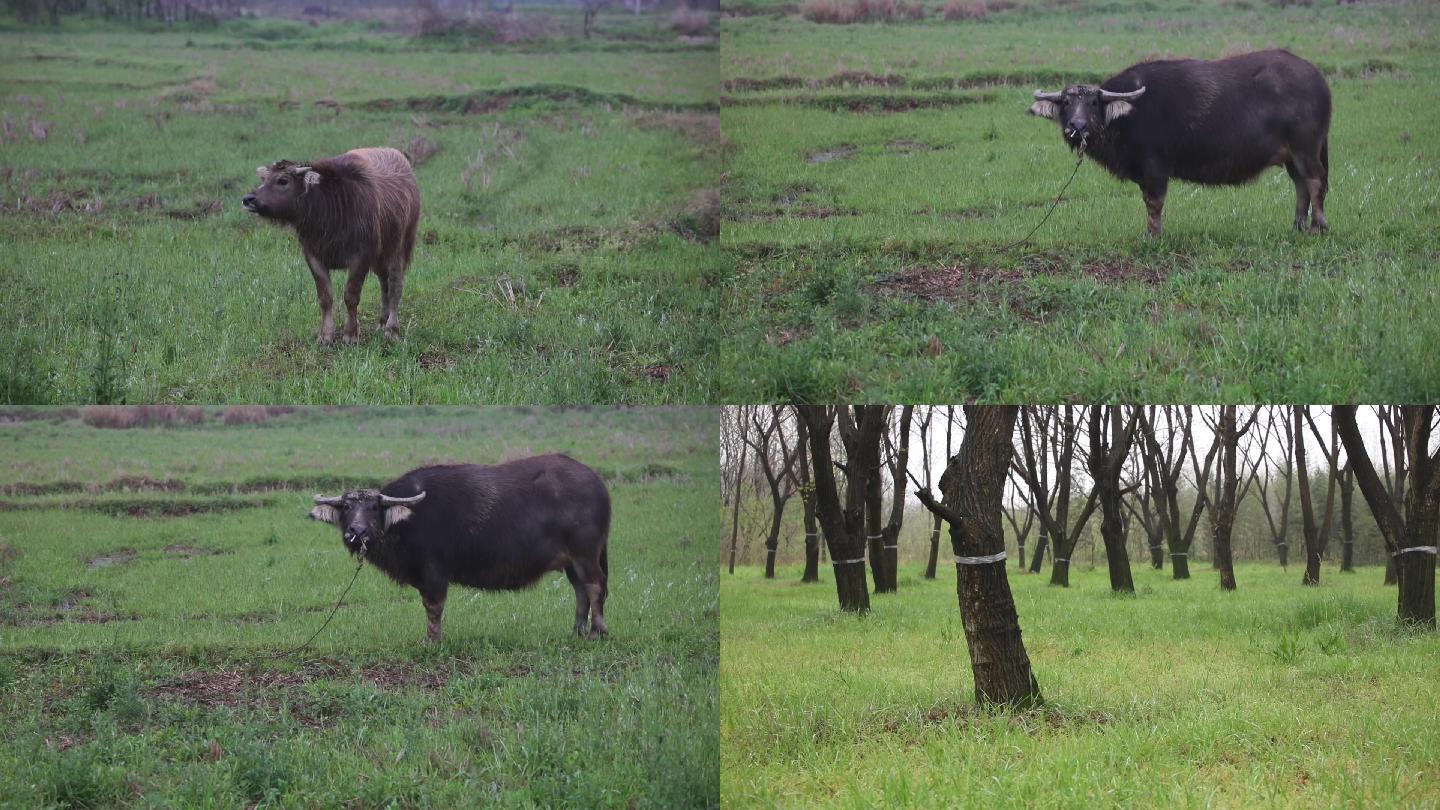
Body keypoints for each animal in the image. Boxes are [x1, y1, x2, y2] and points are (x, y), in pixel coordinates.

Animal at [241, 146, 420, 341]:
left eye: (283, 180)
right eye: (264, 180)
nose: (248, 199)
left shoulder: (362, 256)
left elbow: (351, 295)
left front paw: (351, 334)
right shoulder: (313, 255)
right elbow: (325, 297)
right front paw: (325, 335)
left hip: (400, 247)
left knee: (395, 286)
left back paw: (391, 328)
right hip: (380, 257)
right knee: (384, 283)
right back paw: (382, 321)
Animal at [308, 455, 607, 637]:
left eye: (373, 507)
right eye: (347, 507)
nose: (356, 531)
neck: (407, 521)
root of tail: (597, 483)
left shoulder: (435, 573)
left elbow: (434, 607)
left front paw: (433, 640)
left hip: (586, 555)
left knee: (595, 587)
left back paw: (596, 632)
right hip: (572, 562)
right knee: (580, 591)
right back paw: (576, 631)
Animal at [1031, 49, 1330, 234]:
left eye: (1093, 103)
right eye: (1067, 103)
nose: (1077, 126)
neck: (1128, 115)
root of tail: (1318, 79)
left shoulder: (1154, 168)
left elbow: (1154, 202)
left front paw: (1153, 235)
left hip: (1306, 150)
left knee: (1315, 181)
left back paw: (1317, 227)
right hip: (1292, 157)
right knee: (1301, 185)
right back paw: (1297, 226)